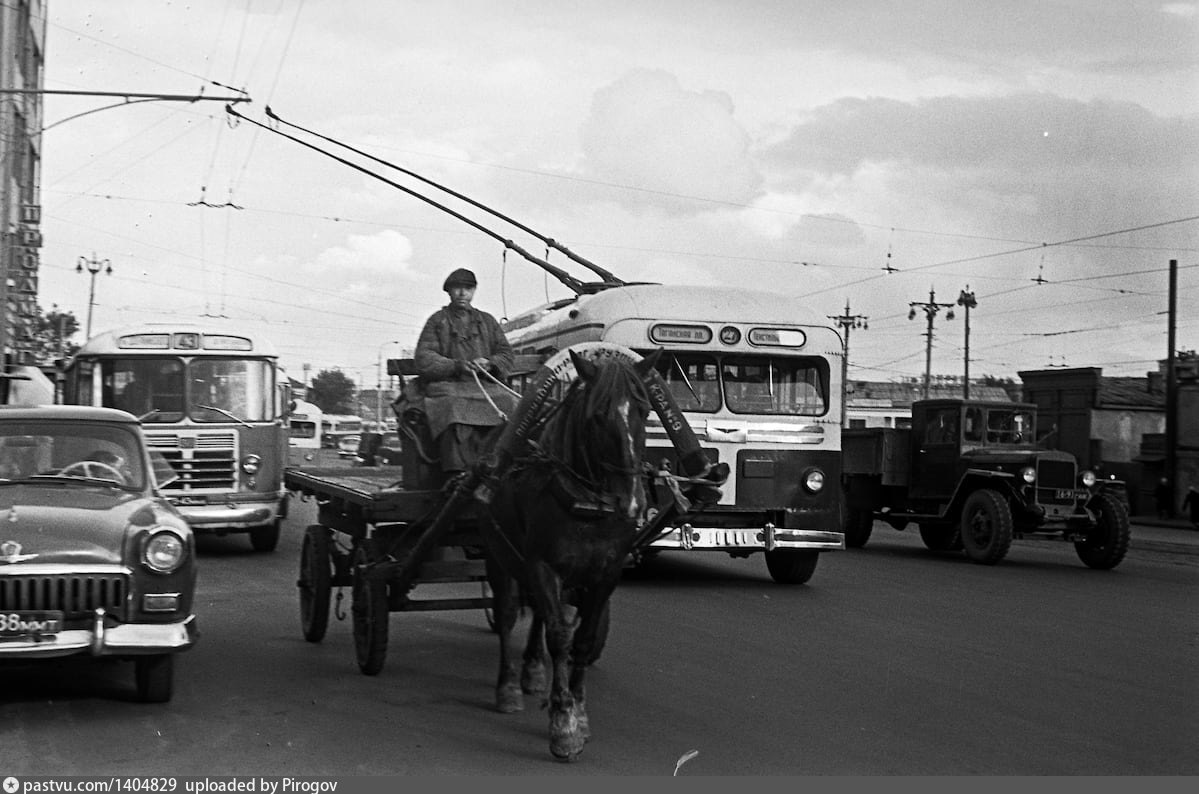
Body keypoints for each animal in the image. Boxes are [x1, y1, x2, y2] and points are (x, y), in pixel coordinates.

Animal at [477, 350, 657, 767]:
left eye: (644, 411)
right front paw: (563, 723)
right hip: (499, 553)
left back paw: (532, 670)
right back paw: (509, 686)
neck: (587, 504)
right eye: (598, 415)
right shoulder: (541, 565)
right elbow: (560, 637)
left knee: (541, 614)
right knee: (508, 613)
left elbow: (584, 639)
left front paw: (580, 709)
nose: (633, 502)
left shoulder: (606, 572)